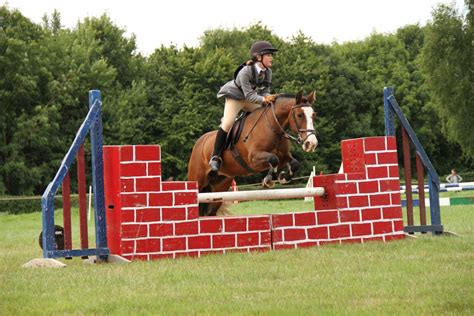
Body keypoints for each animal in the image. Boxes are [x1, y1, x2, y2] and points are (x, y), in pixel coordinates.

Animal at [187, 90, 316, 216]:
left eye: (313, 115)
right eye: (299, 115)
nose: (312, 143)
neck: (273, 127)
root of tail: (200, 141)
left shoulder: (284, 156)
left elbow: (294, 163)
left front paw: (283, 177)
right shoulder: (253, 158)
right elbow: (273, 159)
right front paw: (269, 180)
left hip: (220, 185)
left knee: (209, 212)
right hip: (198, 179)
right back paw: (214, 161)